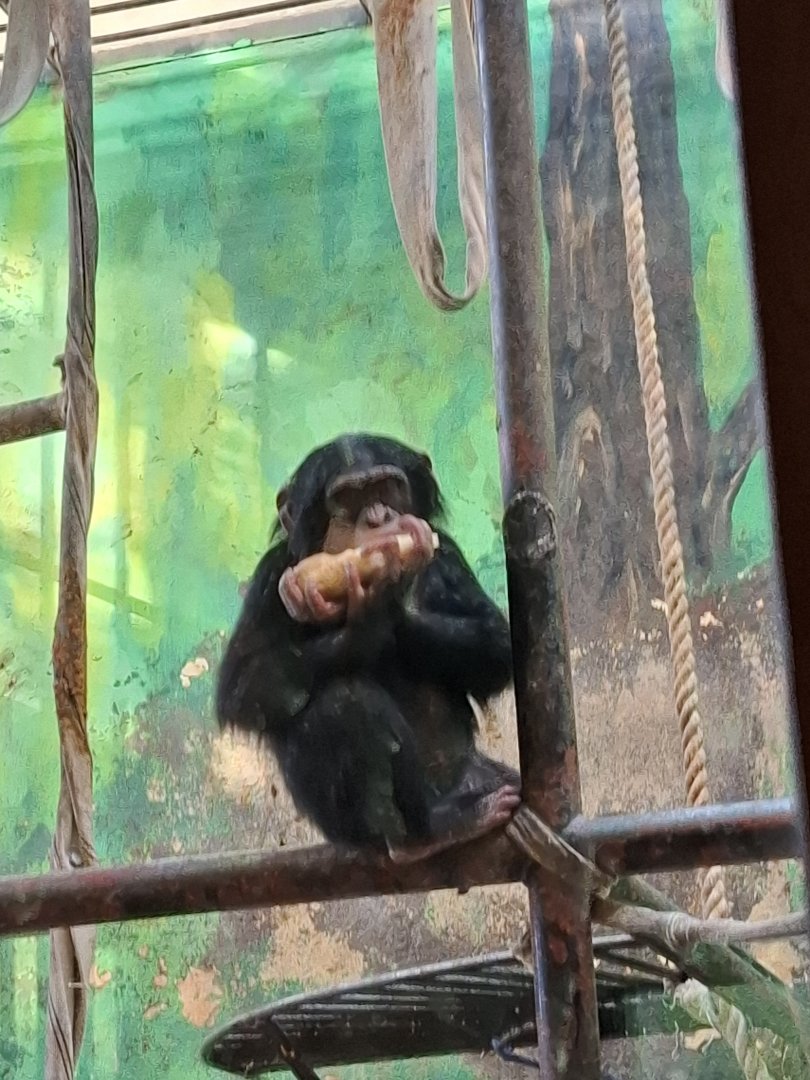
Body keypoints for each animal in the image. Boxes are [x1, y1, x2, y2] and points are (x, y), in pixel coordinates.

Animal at [216, 433, 520, 863]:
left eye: (386, 487)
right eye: (347, 497)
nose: (377, 518)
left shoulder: (449, 556)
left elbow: (495, 645)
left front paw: (393, 602)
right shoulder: (271, 578)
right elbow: (245, 685)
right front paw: (369, 620)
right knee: (343, 702)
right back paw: (429, 832)